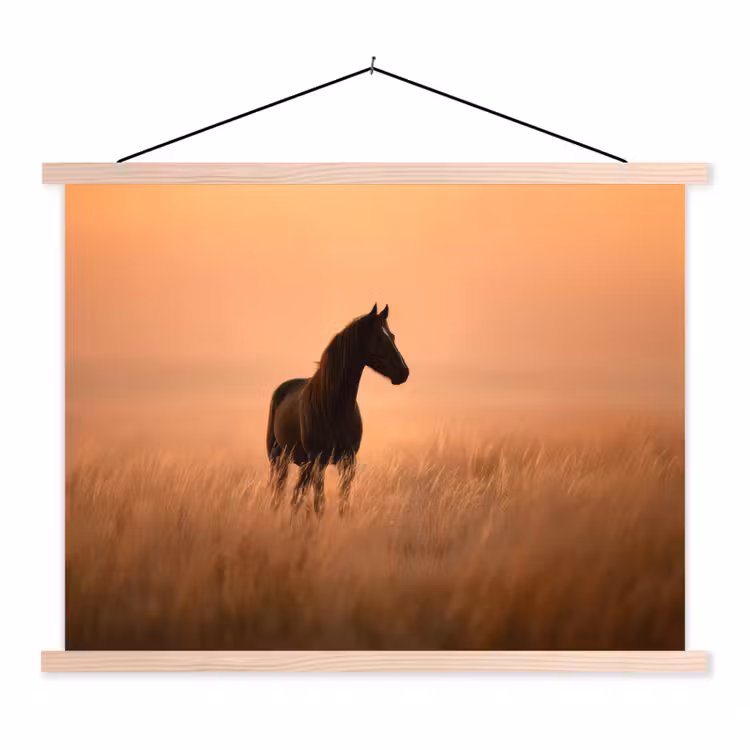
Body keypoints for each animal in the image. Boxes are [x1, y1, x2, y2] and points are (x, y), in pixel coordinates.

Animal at [266, 303, 409, 517]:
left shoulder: (348, 462)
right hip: (279, 459)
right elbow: (320, 504)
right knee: (280, 494)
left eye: (392, 336)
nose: (403, 372)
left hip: (303, 464)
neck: (334, 407)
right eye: (378, 338)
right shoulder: (319, 462)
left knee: (296, 497)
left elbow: (344, 504)